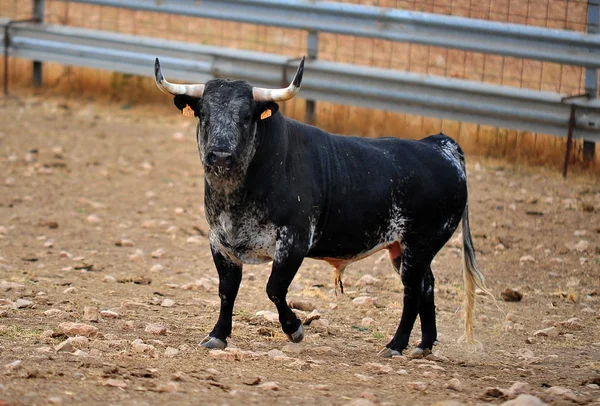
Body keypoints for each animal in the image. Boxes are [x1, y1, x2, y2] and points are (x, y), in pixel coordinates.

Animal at [154, 58, 488, 358]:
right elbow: (227, 291)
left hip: (420, 245)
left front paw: (295, 330)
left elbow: (274, 288)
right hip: (404, 248)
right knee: (427, 286)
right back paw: (424, 345)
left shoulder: (294, 242)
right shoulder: (220, 243)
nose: (221, 156)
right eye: (204, 114)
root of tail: (441, 145)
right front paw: (218, 335)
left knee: (413, 290)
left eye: (247, 116)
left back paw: (395, 345)